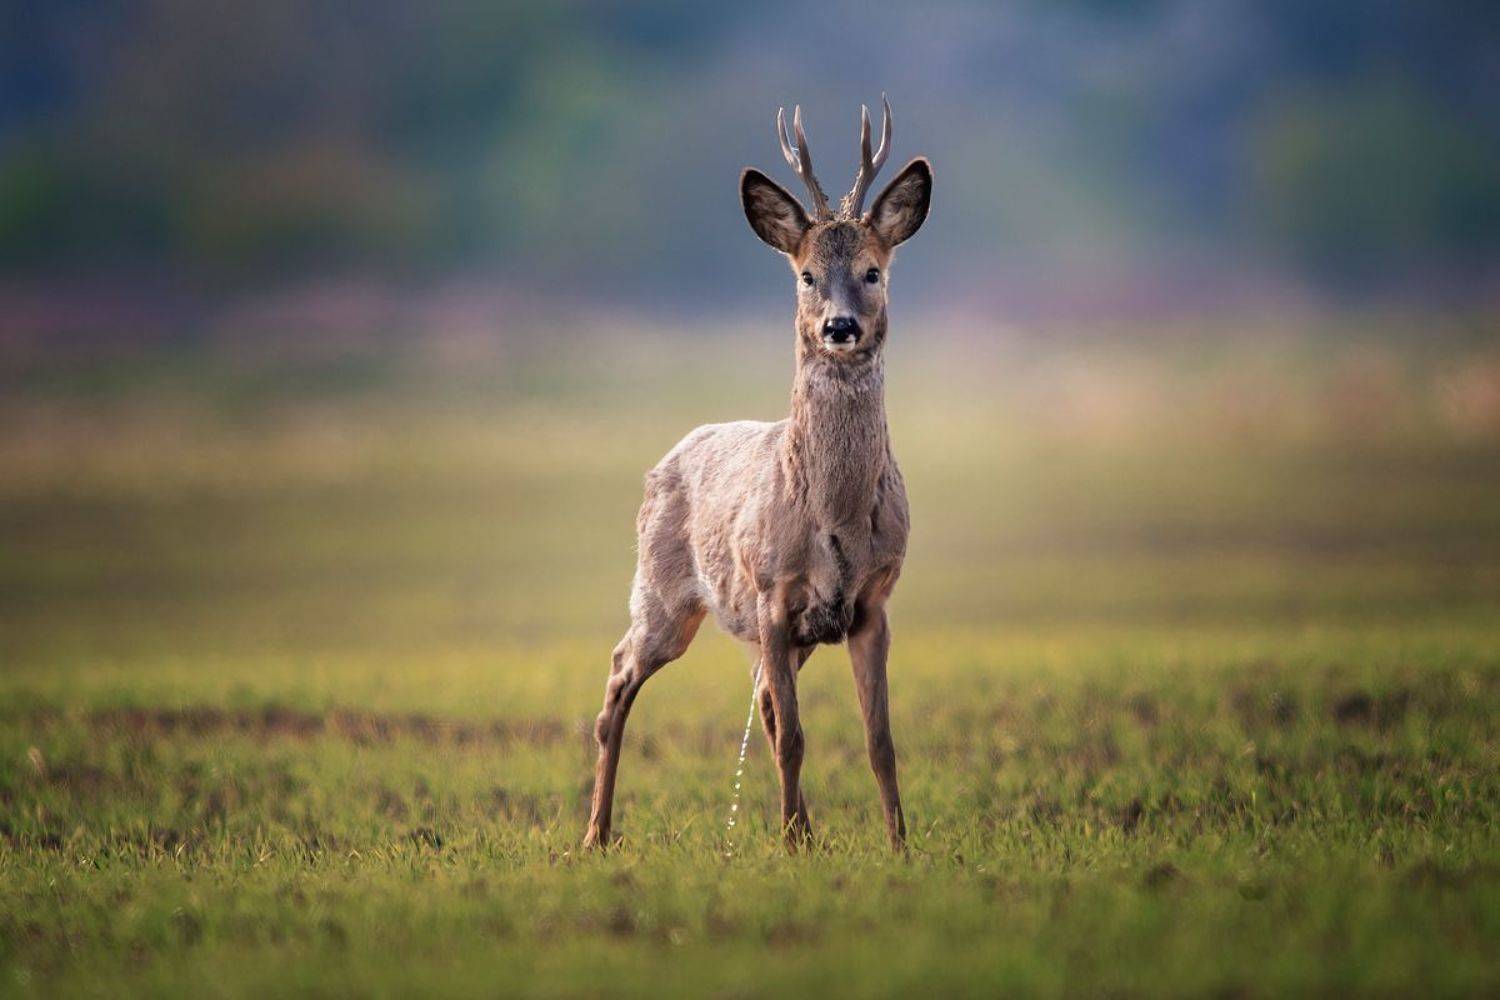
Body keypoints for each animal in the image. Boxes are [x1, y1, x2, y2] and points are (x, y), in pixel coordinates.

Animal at [583, 97, 932, 851]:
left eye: (873, 271)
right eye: (805, 275)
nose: (838, 327)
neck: (832, 516)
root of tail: (665, 459)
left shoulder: (874, 601)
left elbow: (879, 740)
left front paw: (898, 844)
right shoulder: (772, 594)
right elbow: (795, 737)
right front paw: (792, 842)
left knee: (763, 704)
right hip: (663, 594)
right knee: (619, 678)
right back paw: (595, 833)